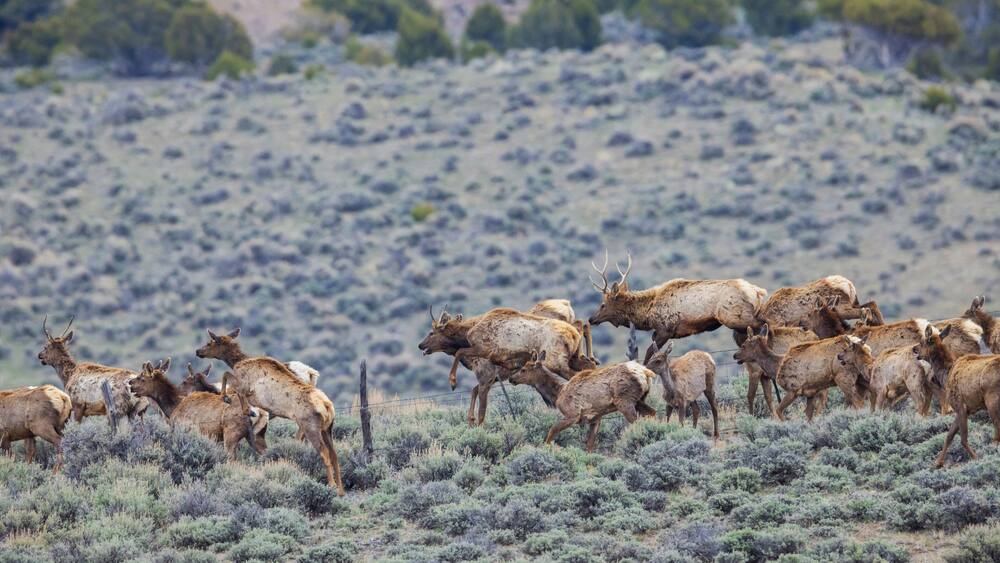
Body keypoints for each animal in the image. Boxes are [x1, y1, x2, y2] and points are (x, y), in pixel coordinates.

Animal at [129, 361, 265, 458]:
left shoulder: (181, 430)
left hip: (231, 435)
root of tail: (255, 413)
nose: (130, 383)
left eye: (142, 377)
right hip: (256, 436)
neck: (173, 407)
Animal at [195, 328, 344, 495]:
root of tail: (327, 406)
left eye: (210, 342)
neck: (237, 361)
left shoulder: (245, 387)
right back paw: (341, 490)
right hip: (328, 428)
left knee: (324, 453)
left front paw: (231, 401)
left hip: (311, 426)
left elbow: (226, 376)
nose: (198, 351)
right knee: (334, 454)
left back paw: (332, 485)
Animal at [509, 350, 657, 451]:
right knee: (652, 413)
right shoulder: (596, 417)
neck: (558, 393)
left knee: (638, 421)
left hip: (625, 400)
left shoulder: (573, 414)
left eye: (523, 369)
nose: (511, 379)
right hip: (639, 400)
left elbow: (552, 430)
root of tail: (646, 372)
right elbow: (589, 445)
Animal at [586, 251, 767, 363]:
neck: (647, 314)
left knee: (763, 325)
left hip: (734, 317)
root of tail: (757, 291)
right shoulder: (659, 332)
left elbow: (648, 355)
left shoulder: (665, 329)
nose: (591, 319)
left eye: (603, 305)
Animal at [734, 326, 873, 421]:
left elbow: (779, 411)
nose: (735, 355)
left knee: (858, 402)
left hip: (843, 377)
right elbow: (808, 416)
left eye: (744, 345)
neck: (777, 366)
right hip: (862, 378)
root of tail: (865, 346)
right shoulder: (810, 392)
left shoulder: (793, 388)